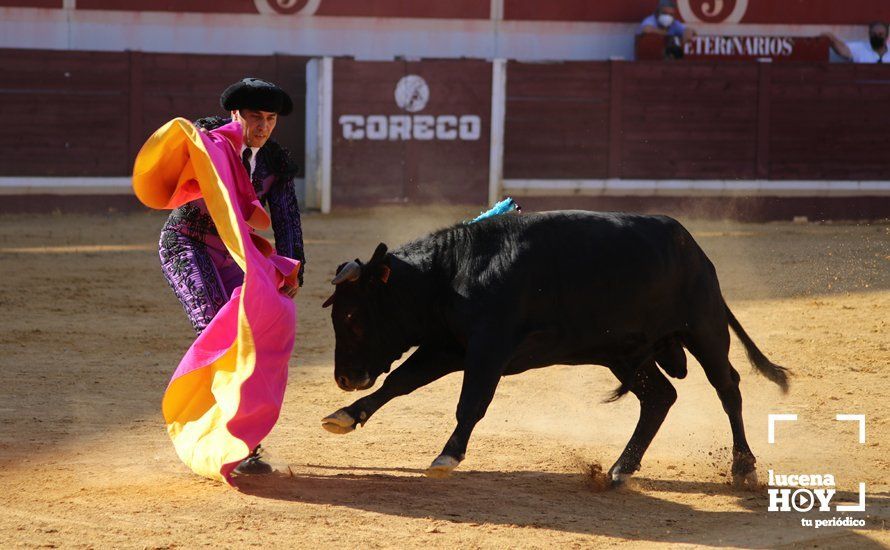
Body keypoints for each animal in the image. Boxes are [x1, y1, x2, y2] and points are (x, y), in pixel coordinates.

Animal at [318, 211, 784, 488]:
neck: (451, 272)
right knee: (659, 397)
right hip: (625, 355)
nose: (344, 377)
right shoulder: (447, 347)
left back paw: (743, 466)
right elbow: (400, 381)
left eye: (354, 317)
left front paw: (447, 455)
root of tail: (697, 251)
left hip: (704, 330)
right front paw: (344, 416)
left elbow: (471, 403)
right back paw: (620, 469)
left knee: (728, 388)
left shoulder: (487, 350)